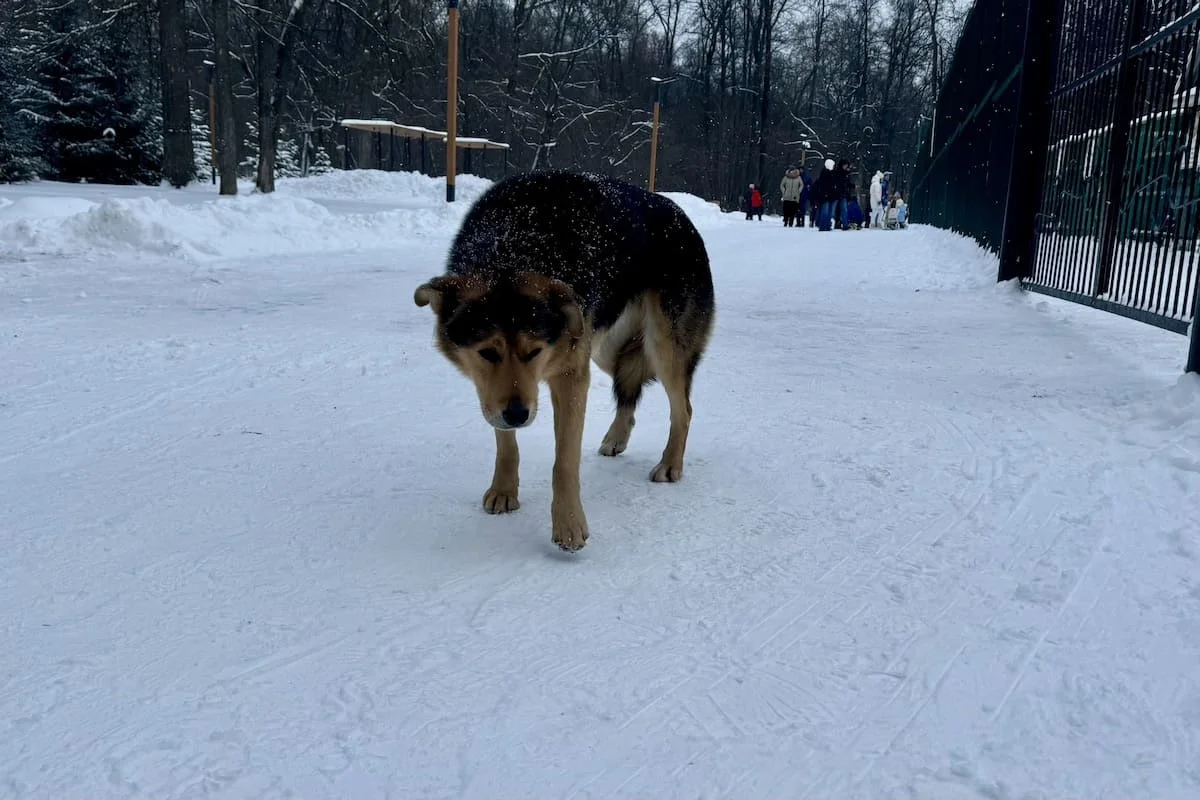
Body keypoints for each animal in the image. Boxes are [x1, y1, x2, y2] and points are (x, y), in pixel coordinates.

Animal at [412, 172, 710, 554]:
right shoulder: (493, 393)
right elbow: (505, 443)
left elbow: (564, 462)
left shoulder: (570, 376)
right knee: (629, 388)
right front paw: (504, 490)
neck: (515, 241)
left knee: (682, 409)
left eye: (535, 351)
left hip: (662, 347)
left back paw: (670, 463)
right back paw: (616, 437)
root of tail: (680, 214)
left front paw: (569, 525)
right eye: (488, 352)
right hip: (606, 347)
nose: (518, 415)